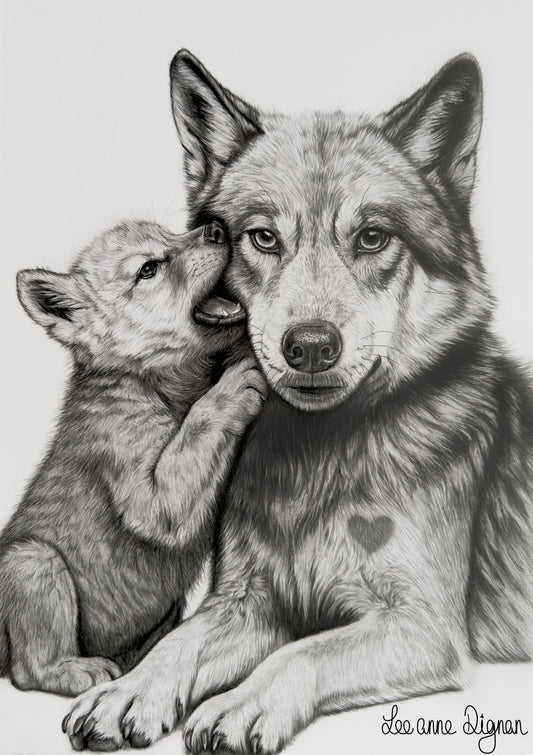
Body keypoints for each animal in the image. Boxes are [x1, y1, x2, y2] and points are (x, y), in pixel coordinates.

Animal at [0, 220, 265, 696]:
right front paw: (233, 386)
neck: (153, 385)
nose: (216, 228)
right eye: (148, 269)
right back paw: (77, 670)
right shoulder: (147, 495)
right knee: (28, 670)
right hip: (32, 561)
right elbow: (199, 427)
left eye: (173, 234)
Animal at [64, 52, 533, 753]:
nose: (310, 346)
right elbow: (176, 645)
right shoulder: (247, 602)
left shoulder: (423, 627)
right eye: (262, 238)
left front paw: (237, 707)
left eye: (372, 238)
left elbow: (302, 653)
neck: (316, 459)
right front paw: (125, 691)